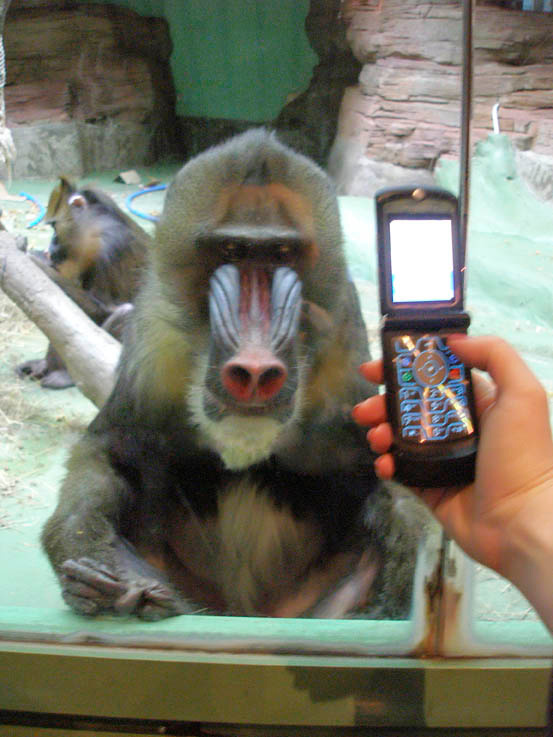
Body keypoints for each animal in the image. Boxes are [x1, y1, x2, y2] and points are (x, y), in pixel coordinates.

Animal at [17, 177, 150, 389]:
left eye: (54, 227)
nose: (51, 246)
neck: (95, 229)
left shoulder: (111, 246)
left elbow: (105, 309)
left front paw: (36, 260)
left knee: (126, 312)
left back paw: (67, 375)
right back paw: (46, 366)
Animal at [42, 129, 423, 621]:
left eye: (281, 253)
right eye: (232, 251)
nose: (256, 370)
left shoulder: (342, 338)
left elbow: (380, 476)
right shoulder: (153, 343)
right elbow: (109, 451)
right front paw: (103, 573)